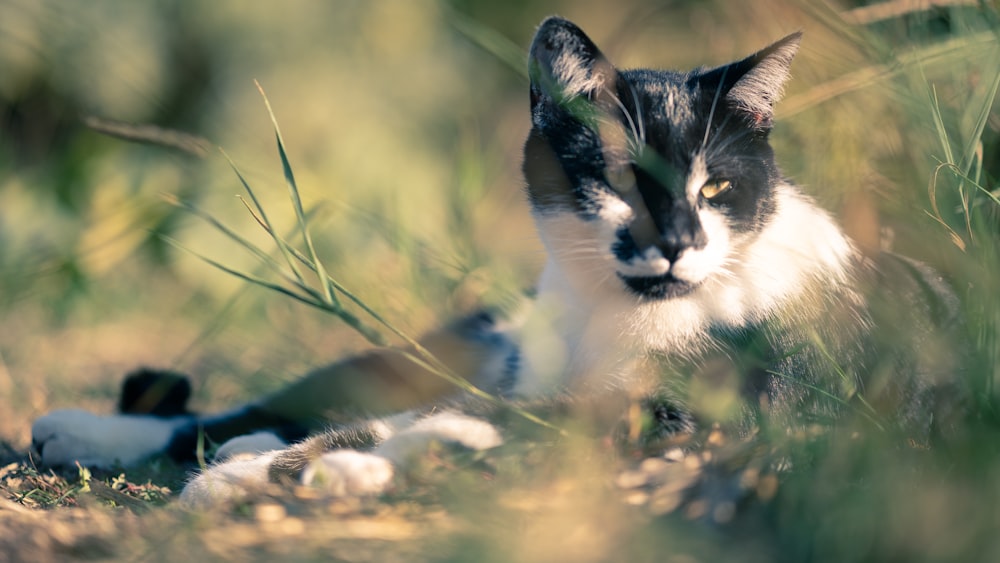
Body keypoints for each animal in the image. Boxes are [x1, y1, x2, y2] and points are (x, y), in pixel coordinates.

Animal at [33, 16, 968, 506]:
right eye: (621, 179)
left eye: (716, 187)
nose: (676, 242)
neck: (616, 316)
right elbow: (458, 415)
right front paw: (292, 465)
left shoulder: (710, 410)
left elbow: (511, 424)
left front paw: (303, 468)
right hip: (460, 341)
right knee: (257, 404)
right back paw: (92, 429)